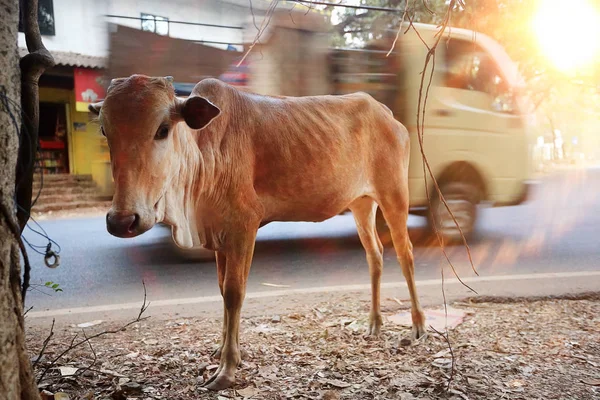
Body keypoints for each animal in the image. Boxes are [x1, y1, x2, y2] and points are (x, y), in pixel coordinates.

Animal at [90, 73, 426, 390]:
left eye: (162, 129)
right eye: (105, 130)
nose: (122, 220)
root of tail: (387, 114)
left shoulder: (243, 226)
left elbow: (234, 293)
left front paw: (227, 368)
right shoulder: (218, 236)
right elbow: (221, 289)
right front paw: (223, 349)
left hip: (394, 194)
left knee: (405, 254)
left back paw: (418, 325)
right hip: (361, 203)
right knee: (375, 255)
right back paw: (374, 324)